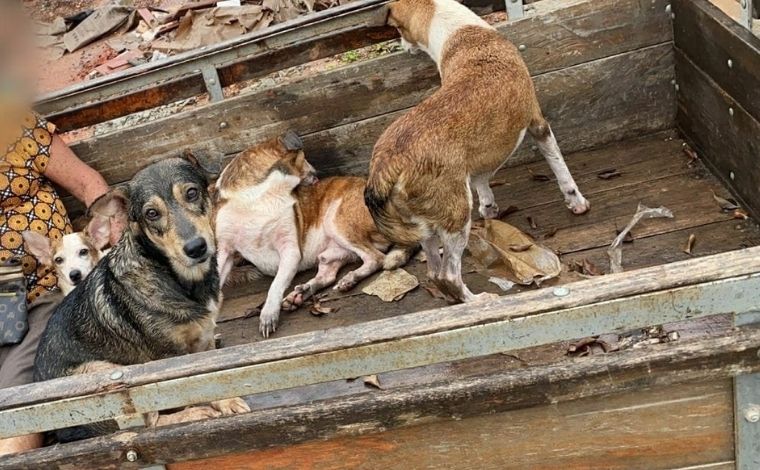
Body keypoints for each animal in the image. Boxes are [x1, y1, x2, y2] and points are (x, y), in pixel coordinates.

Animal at [34, 156, 248, 438]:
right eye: (151, 213)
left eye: (191, 193)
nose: (196, 248)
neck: (176, 277)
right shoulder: (169, 356)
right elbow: (195, 387)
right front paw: (216, 404)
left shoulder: (202, 339)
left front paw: (227, 400)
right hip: (109, 373)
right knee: (147, 424)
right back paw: (194, 414)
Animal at [214, 132, 410, 336]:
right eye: (305, 158)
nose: (316, 173)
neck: (256, 197)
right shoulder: (225, 252)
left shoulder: (290, 250)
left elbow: (275, 285)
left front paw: (268, 314)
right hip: (331, 253)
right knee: (328, 275)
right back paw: (301, 293)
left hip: (335, 221)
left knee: (376, 258)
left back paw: (349, 278)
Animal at [366, 0, 592, 302]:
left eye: (398, 29)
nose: (402, 46)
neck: (461, 33)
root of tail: (387, 163)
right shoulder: (538, 123)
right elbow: (560, 169)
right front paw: (576, 202)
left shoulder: (479, 159)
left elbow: (482, 181)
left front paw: (490, 208)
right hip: (457, 218)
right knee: (449, 273)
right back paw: (478, 301)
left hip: (426, 230)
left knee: (435, 273)